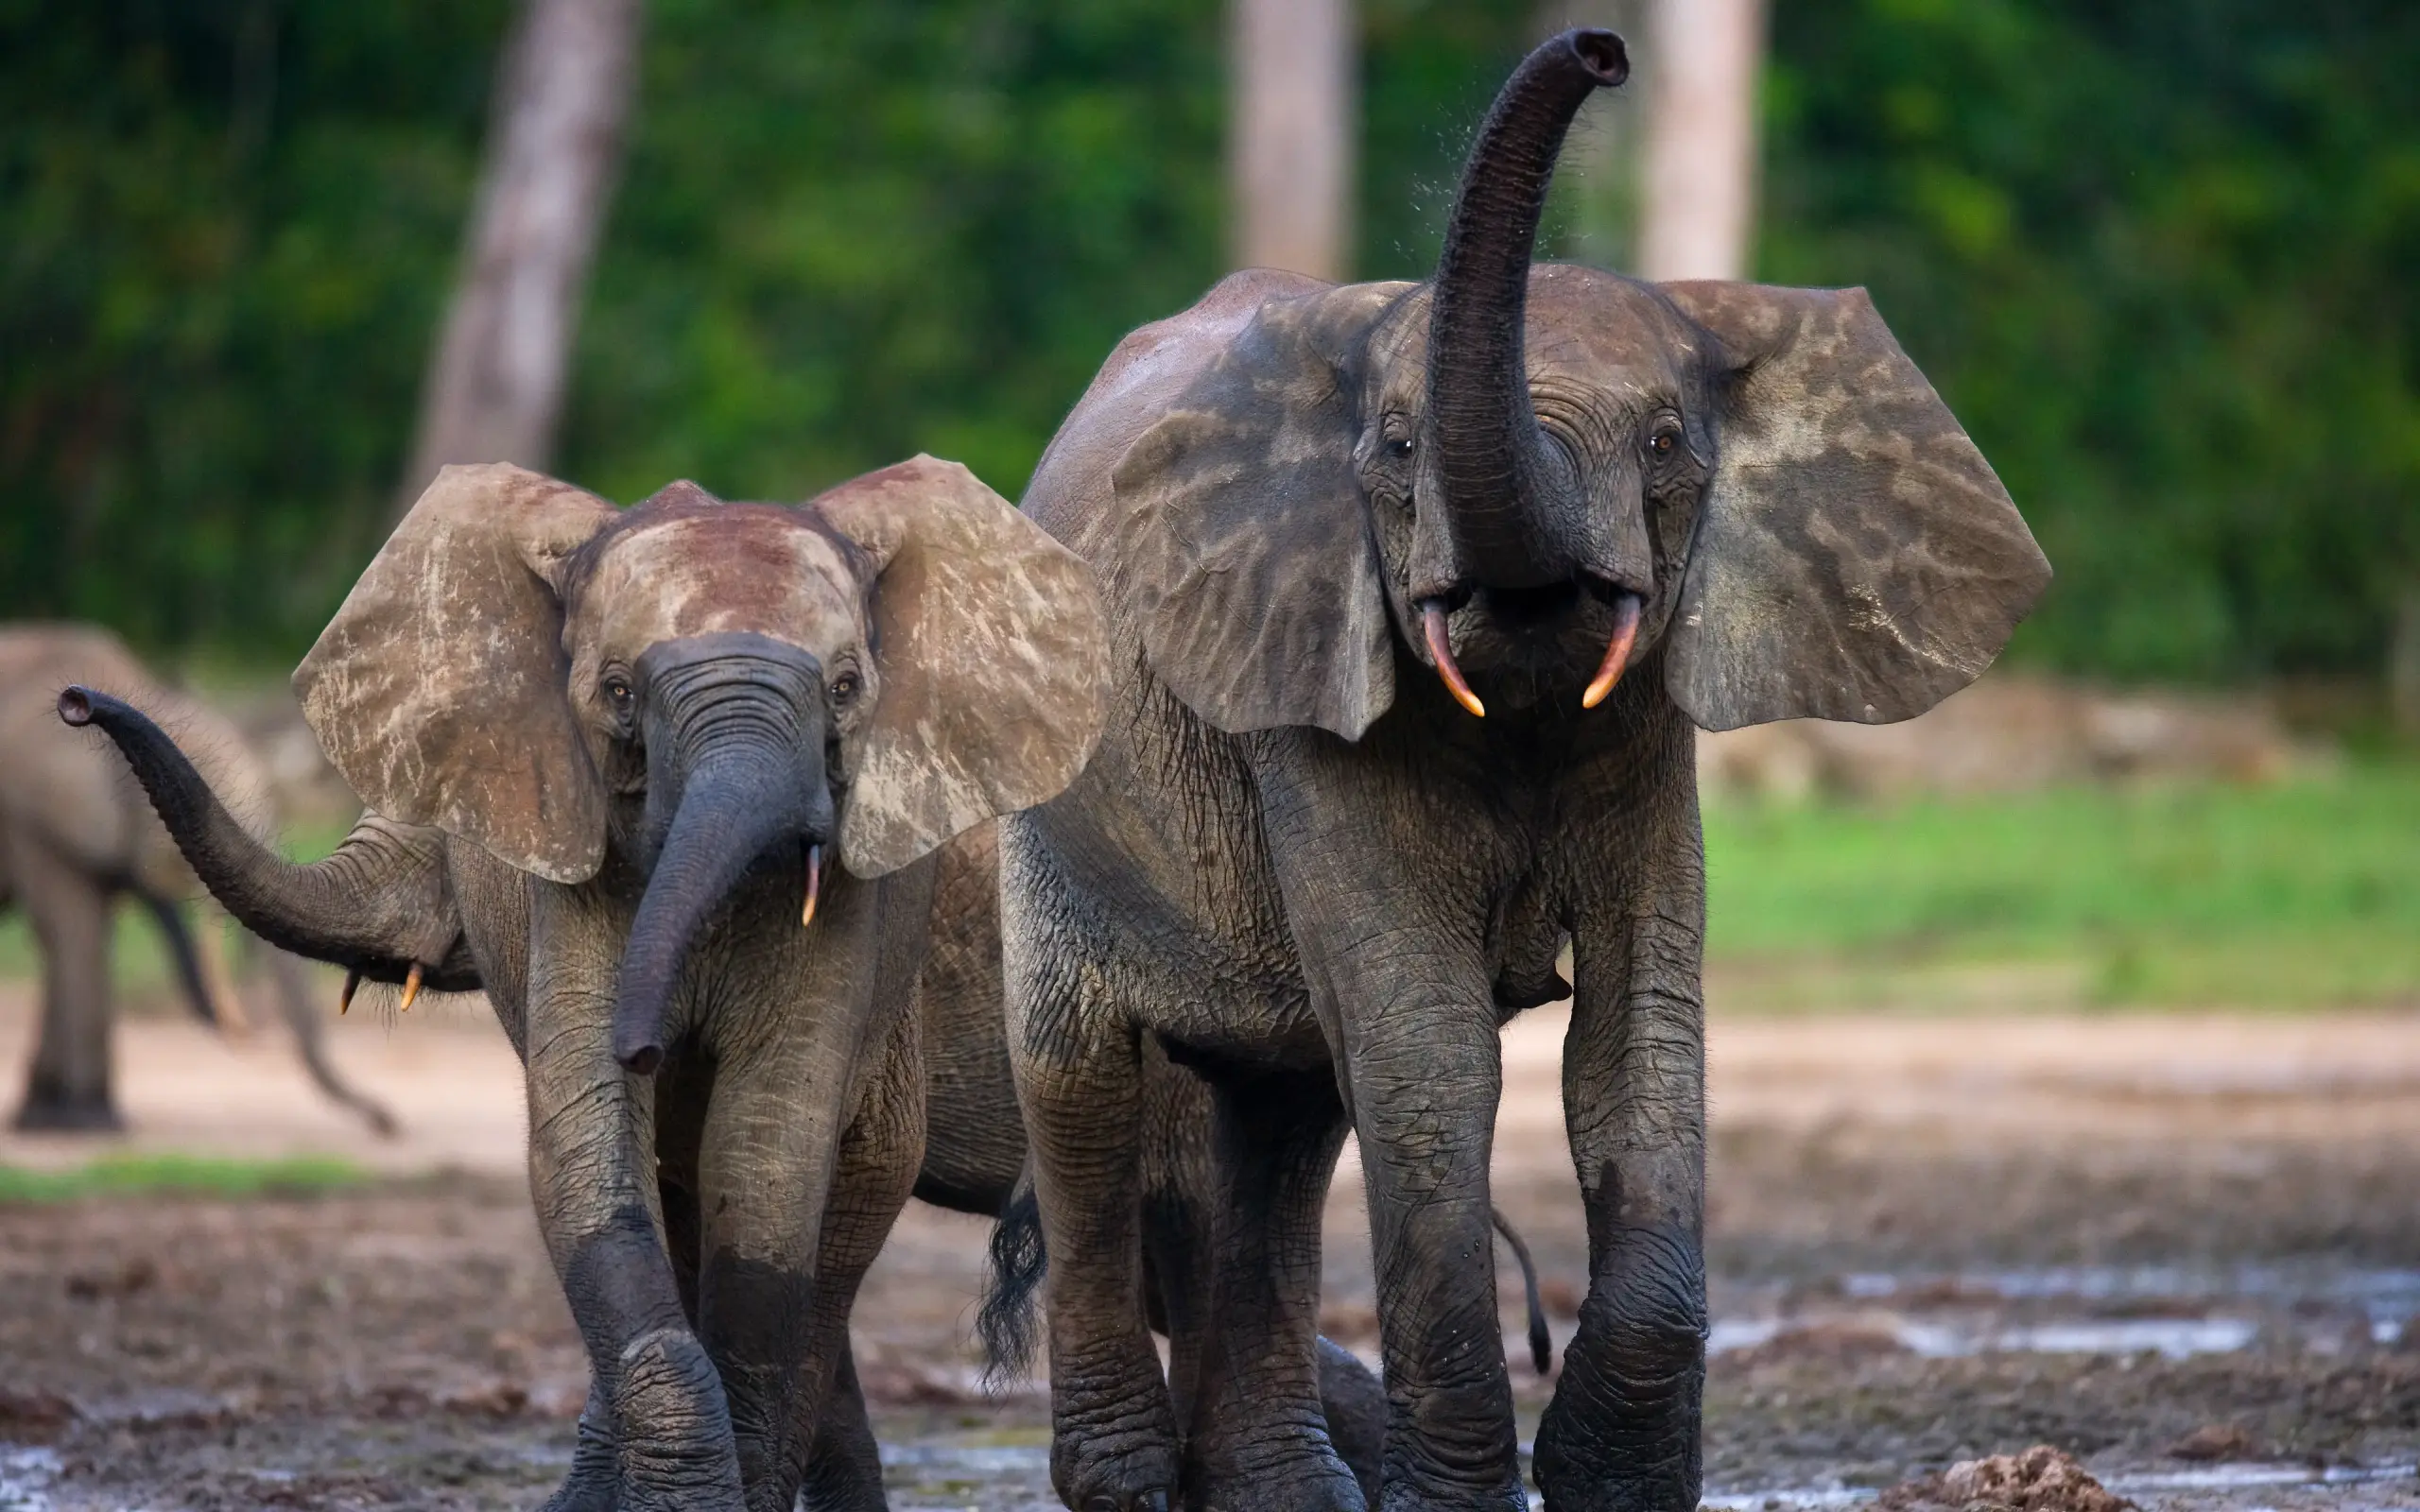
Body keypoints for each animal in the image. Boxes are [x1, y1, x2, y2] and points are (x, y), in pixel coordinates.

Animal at [0, 624, 395, 1135]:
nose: (388, 1123)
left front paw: (61, 1116)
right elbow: (71, 932)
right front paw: (82, 1123)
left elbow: (84, 933)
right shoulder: (31, 816)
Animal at [61, 455, 1109, 1512]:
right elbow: (592, 1148)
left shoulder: (862, 910)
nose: (76, 704)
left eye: (848, 689)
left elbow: (765, 1153)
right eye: (617, 692)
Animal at [991, 27, 2049, 1512]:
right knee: (1084, 1100)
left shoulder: (1647, 741)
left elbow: (1639, 1045)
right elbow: (1433, 1063)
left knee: (1278, 1131)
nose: (1603, 52)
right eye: (1394, 447)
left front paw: (1611, 1482)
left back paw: (1288, 1491)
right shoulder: (1309, 700)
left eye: (1665, 443)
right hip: (1052, 814)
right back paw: (1131, 1485)